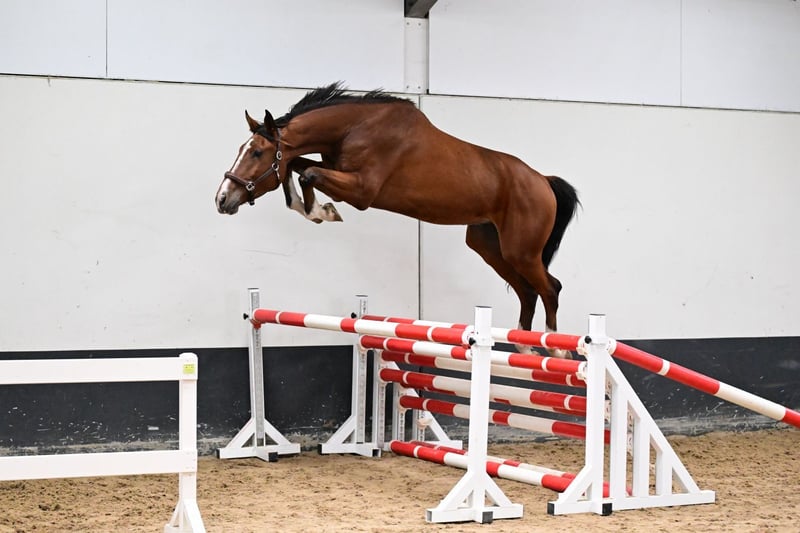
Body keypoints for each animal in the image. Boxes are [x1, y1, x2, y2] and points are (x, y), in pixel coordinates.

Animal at [215, 83, 580, 358]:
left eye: (257, 152)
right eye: (242, 149)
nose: (222, 199)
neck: (353, 129)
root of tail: (542, 181)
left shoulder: (362, 191)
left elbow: (307, 173)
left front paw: (324, 212)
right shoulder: (334, 170)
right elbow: (295, 166)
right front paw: (318, 210)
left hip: (521, 251)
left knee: (550, 287)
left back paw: (556, 348)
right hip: (490, 246)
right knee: (527, 291)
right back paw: (526, 349)